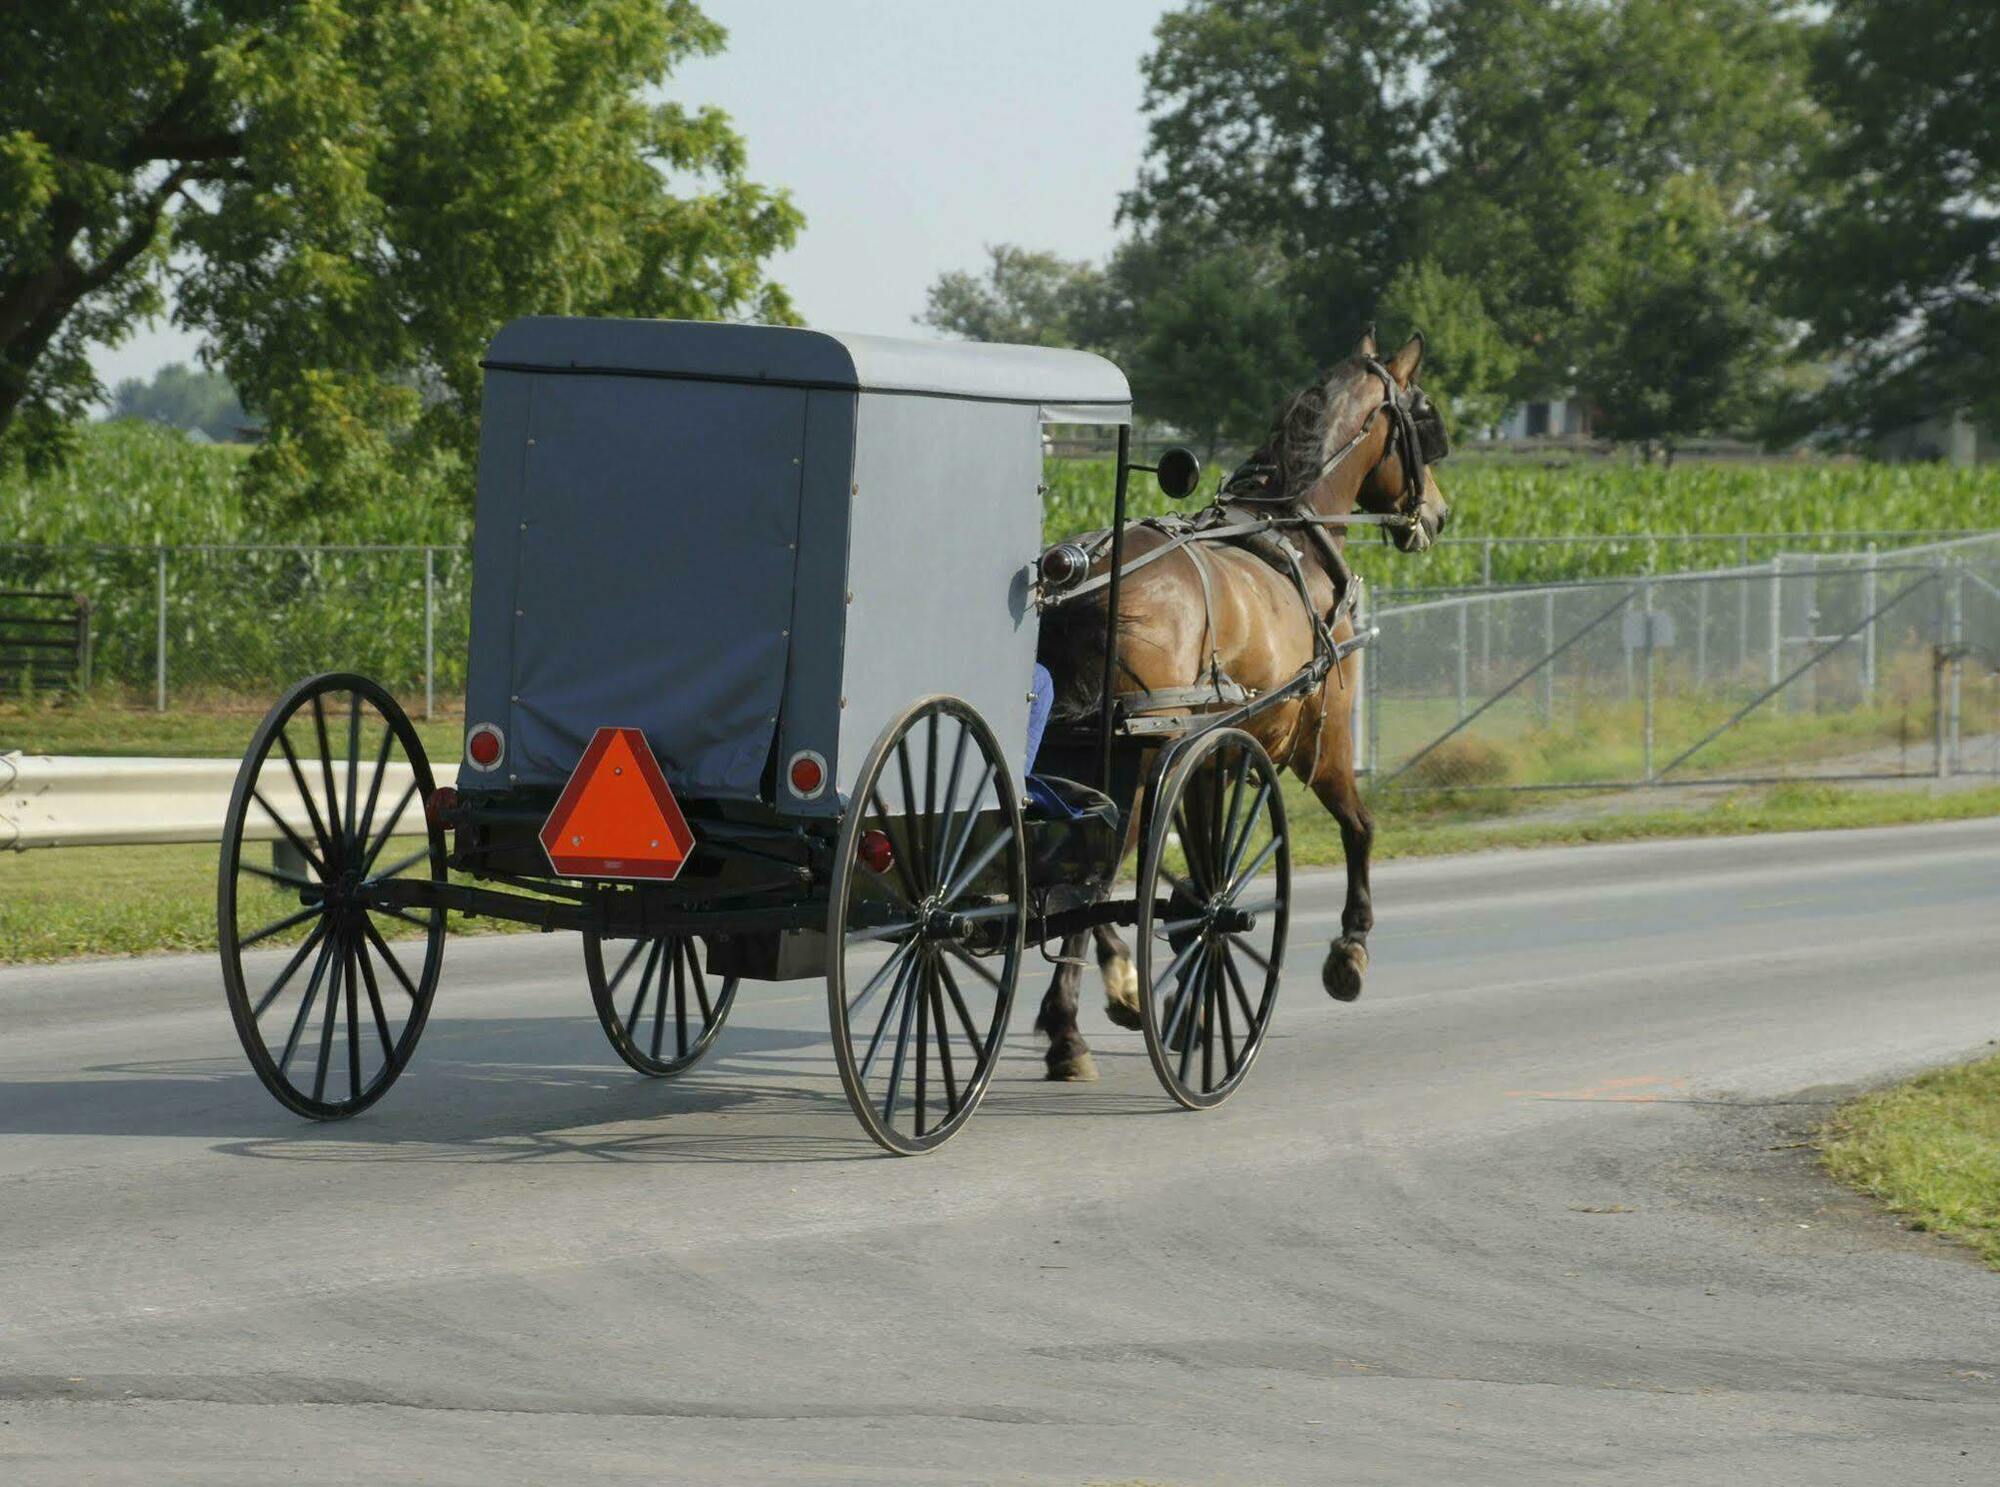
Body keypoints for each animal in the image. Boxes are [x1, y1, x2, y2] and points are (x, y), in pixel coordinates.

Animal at [1032, 327, 1456, 1079]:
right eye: (1423, 419)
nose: (1436, 513)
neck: (1291, 528)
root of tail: (1082, 581)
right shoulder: (1320, 742)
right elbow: (1359, 827)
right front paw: (1349, 950)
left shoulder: (1211, 757)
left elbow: (1193, 870)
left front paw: (1182, 998)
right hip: (1143, 760)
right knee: (1094, 876)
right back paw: (1076, 1023)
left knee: (1085, 872)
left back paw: (1099, 1003)